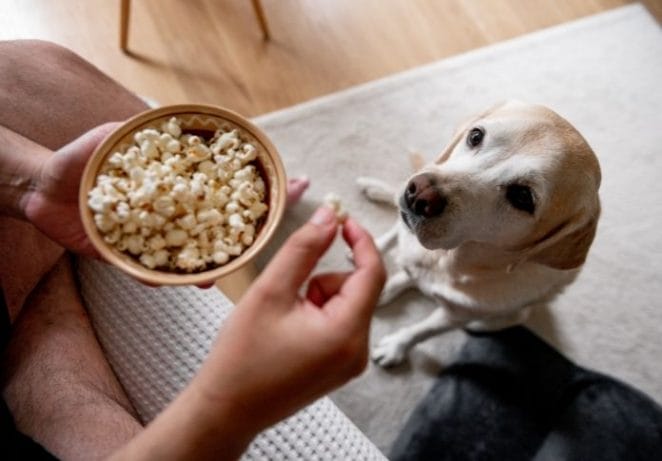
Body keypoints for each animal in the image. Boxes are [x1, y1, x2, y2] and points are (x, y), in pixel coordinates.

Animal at [360, 101, 604, 366]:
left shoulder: (456, 316)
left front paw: (396, 346)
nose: (419, 194)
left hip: (508, 316)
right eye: (475, 136)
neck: (447, 259)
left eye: (522, 197)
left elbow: (422, 331)